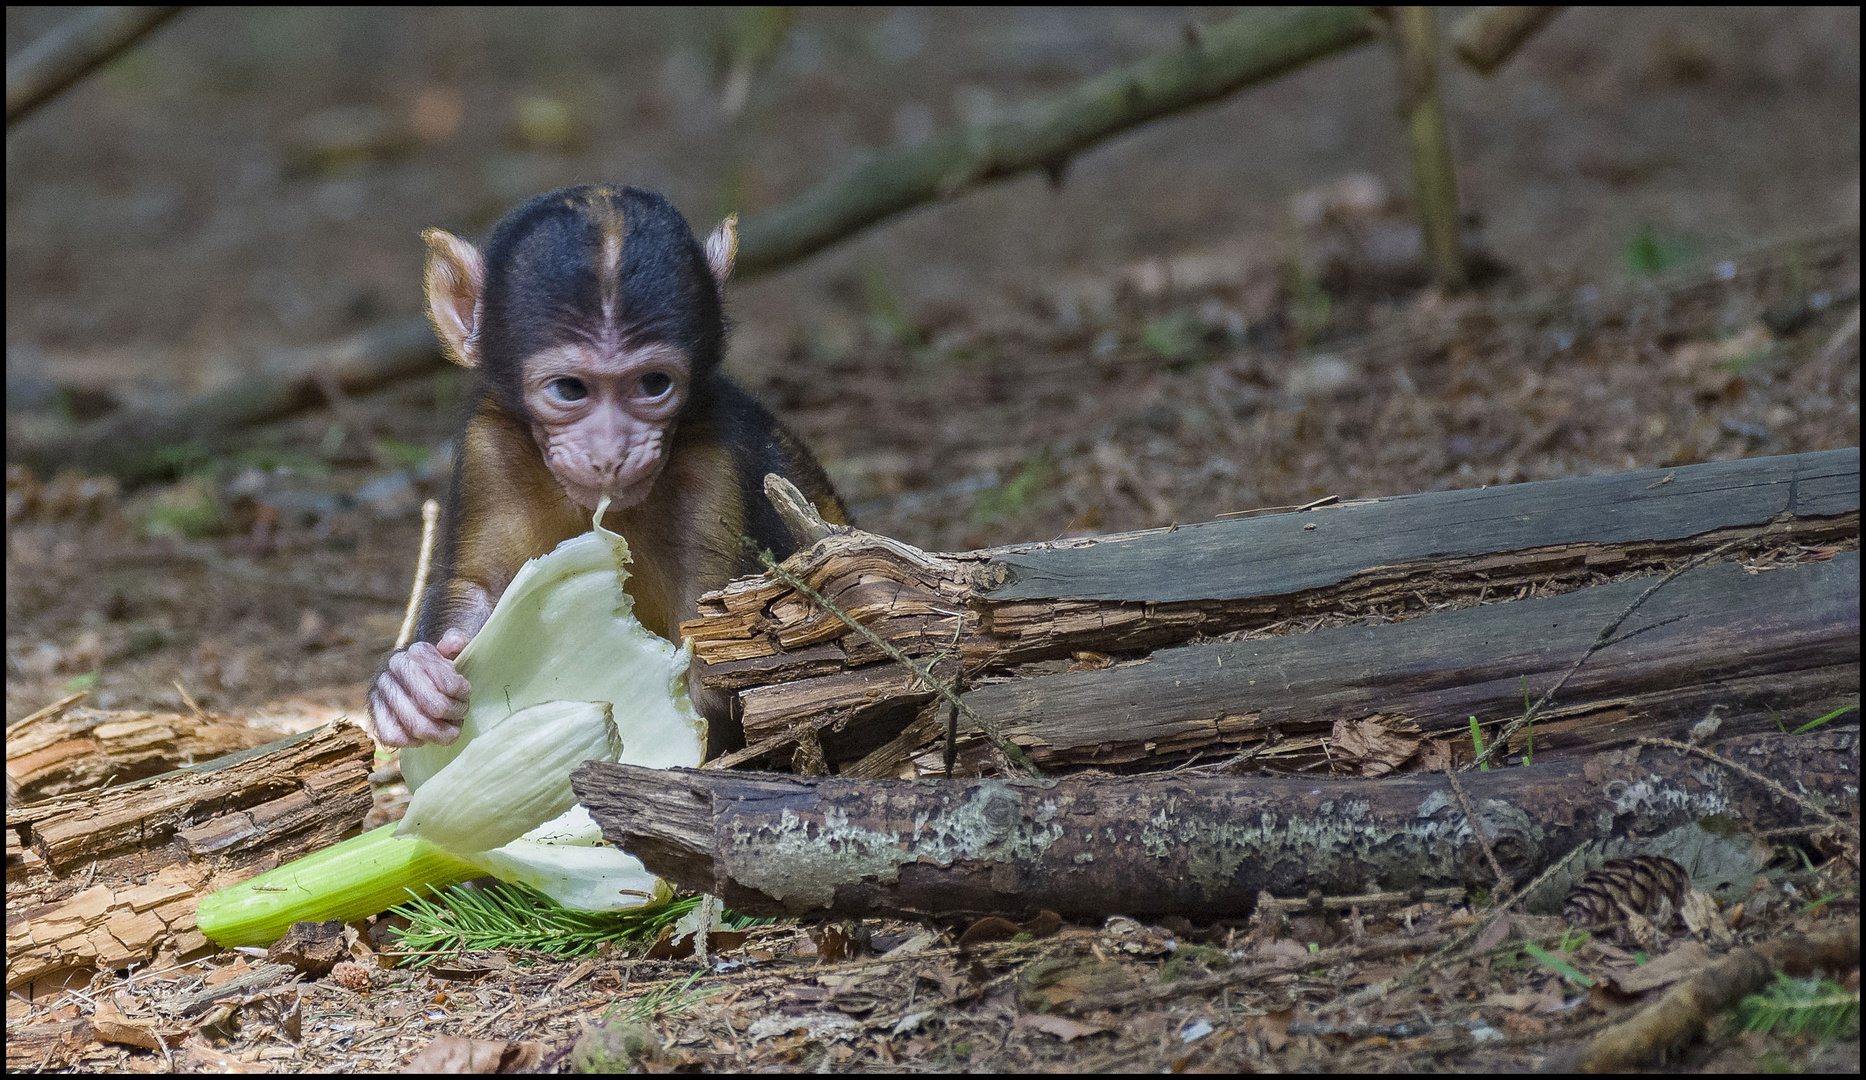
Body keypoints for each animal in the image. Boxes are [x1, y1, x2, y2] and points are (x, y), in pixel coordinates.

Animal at [369, 185, 847, 757]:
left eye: (654, 383)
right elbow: (476, 588)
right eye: (570, 389)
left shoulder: (712, 464)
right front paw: (408, 684)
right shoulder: (491, 446)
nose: (611, 454)